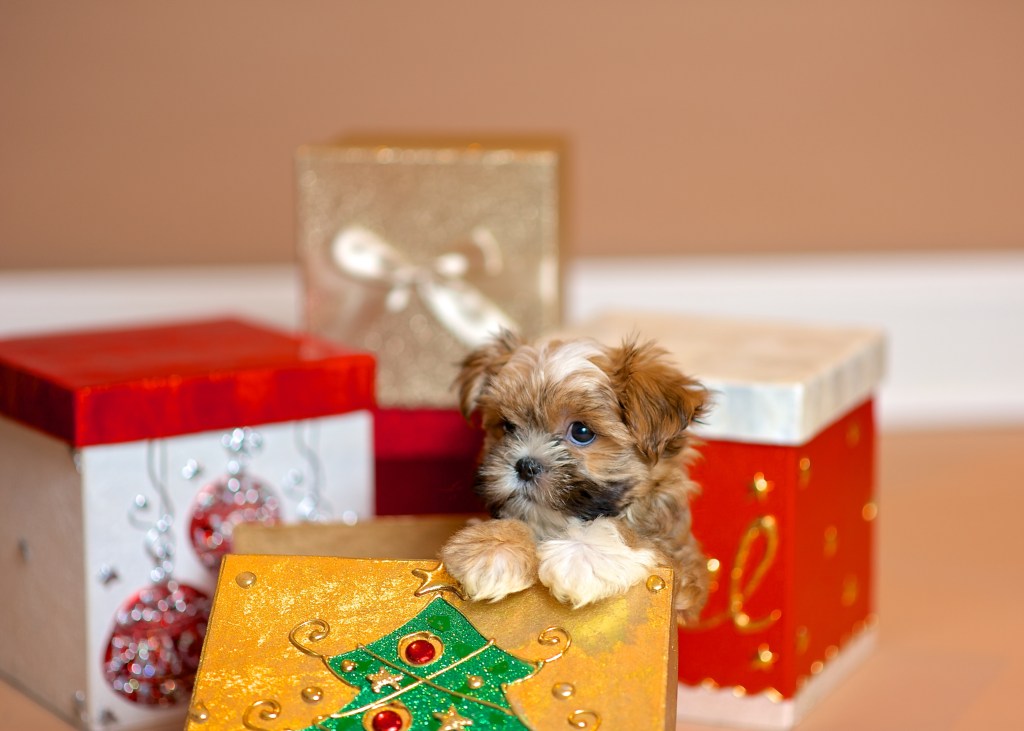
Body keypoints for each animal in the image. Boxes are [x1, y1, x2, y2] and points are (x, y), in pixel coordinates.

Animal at [440, 329, 712, 622]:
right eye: (507, 426)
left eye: (582, 432)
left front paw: (583, 553)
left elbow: (632, 533)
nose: (525, 466)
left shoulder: (682, 572)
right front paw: (493, 546)